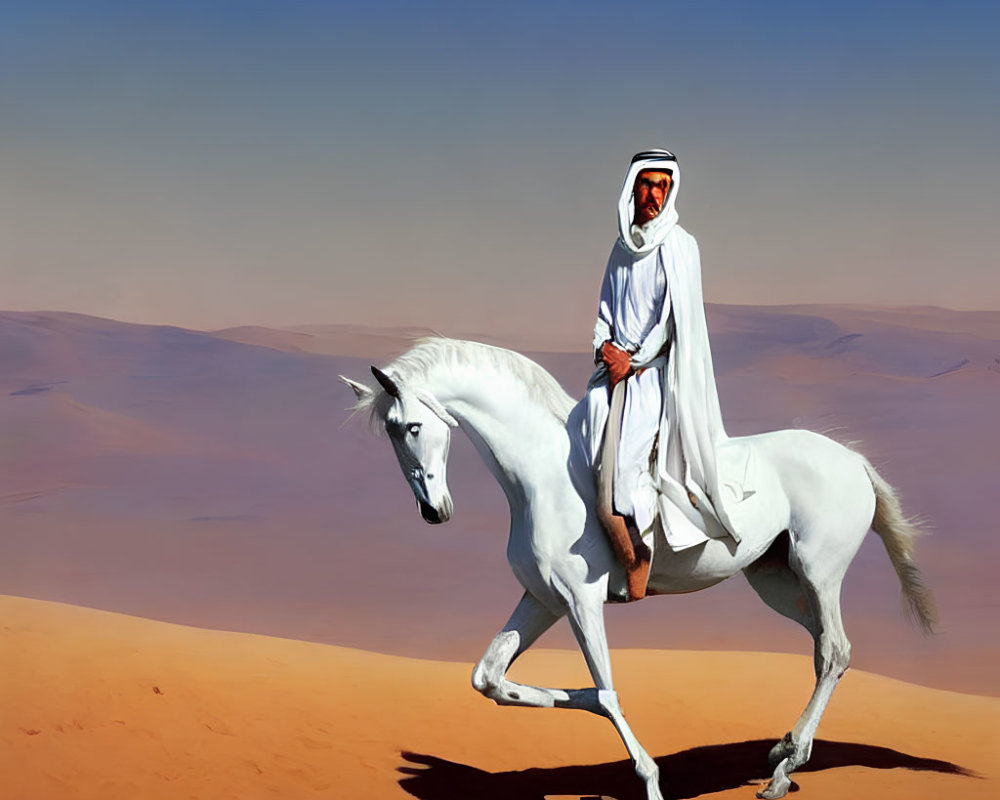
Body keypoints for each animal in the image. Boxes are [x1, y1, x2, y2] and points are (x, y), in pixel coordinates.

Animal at [344, 338, 936, 800]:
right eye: (391, 432)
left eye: (411, 426)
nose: (433, 511)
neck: (545, 476)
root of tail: (852, 460)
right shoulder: (543, 600)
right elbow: (491, 679)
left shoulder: (580, 601)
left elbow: (606, 691)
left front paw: (650, 779)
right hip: (777, 582)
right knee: (823, 650)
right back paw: (785, 753)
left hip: (819, 571)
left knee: (835, 651)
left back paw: (783, 770)